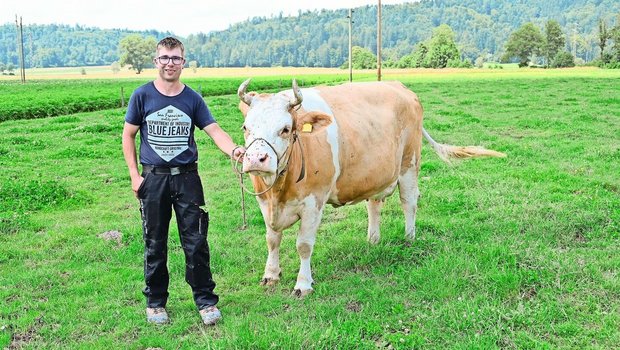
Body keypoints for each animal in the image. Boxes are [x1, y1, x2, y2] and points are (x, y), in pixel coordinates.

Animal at [236, 79, 504, 296]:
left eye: (285, 129)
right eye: (246, 127)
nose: (256, 159)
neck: (278, 191)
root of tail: (399, 87)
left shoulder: (314, 202)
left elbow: (303, 245)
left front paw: (303, 284)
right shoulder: (265, 203)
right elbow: (272, 239)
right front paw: (271, 275)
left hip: (409, 163)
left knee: (409, 202)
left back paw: (409, 237)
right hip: (376, 173)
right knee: (375, 205)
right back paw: (373, 239)